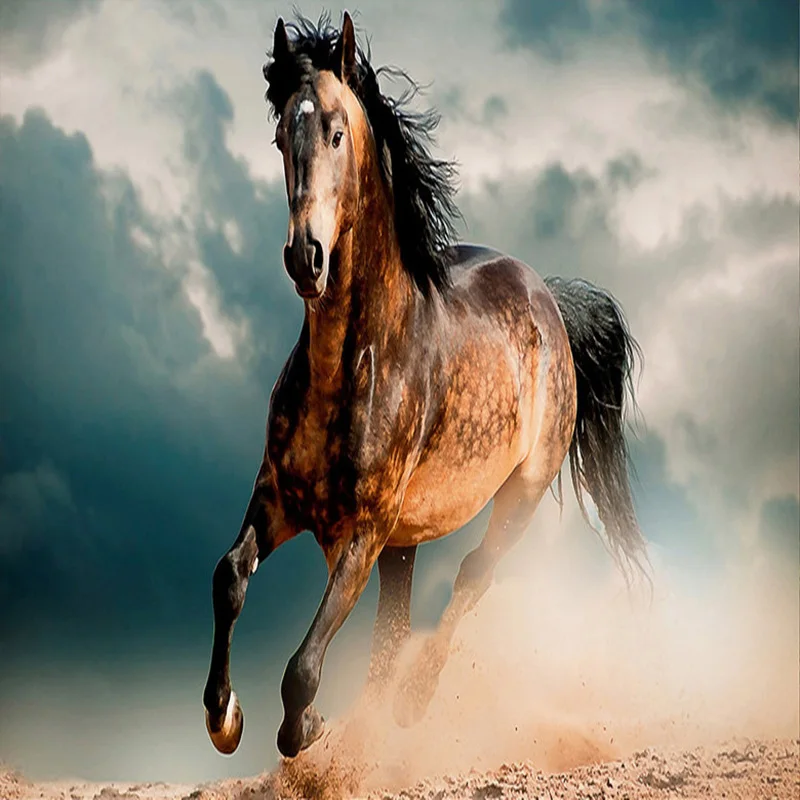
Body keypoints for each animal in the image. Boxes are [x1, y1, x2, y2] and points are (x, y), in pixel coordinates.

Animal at [202, 11, 648, 760]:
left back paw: (411, 703)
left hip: (518, 497)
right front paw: (224, 717)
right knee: (395, 627)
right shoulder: (279, 498)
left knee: (471, 578)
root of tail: (551, 302)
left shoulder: (363, 531)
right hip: (406, 542)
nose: (305, 258)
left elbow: (303, 668)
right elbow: (229, 576)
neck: (353, 364)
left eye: (336, 131)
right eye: (280, 135)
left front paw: (307, 729)